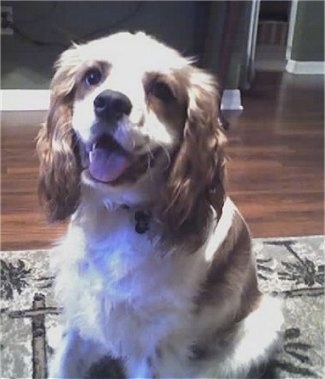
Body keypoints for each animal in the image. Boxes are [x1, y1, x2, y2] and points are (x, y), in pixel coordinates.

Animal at [36, 31, 282, 378]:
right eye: (92, 77)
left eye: (162, 90)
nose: (110, 102)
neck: (122, 215)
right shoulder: (85, 305)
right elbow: (67, 359)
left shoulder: (154, 344)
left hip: (262, 324)